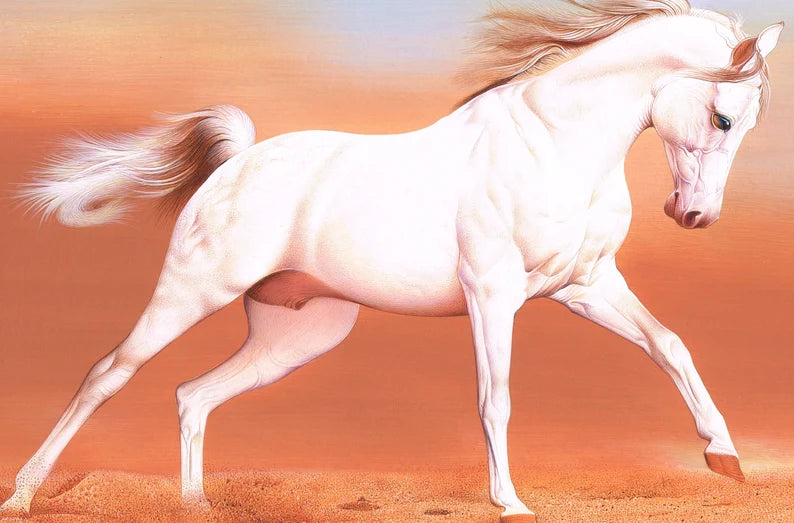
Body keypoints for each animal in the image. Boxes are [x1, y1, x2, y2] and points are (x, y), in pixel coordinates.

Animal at [3, 1, 783, 521]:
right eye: (722, 116)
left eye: (749, 124)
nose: (695, 216)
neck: (552, 144)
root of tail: (237, 162)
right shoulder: (492, 293)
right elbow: (496, 397)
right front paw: (510, 501)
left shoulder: (586, 285)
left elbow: (671, 345)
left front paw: (725, 459)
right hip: (191, 291)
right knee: (107, 375)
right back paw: (24, 493)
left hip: (297, 335)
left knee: (192, 395)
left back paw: (196, 504)